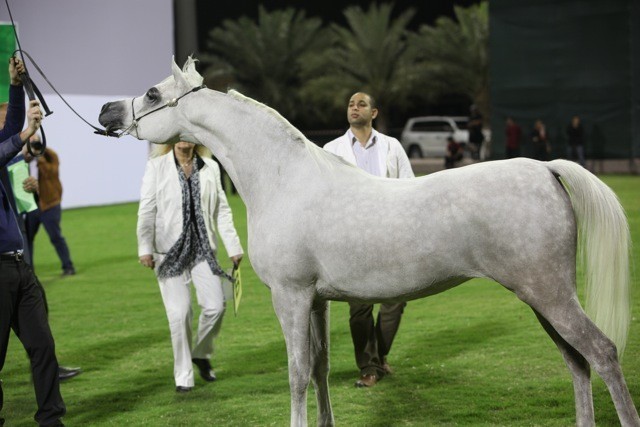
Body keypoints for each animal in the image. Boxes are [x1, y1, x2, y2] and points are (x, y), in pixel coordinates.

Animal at [98, 58, 638, 427]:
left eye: (152, 92)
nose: (106, 110)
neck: (284, 179)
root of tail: (546, 169)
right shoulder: (317, 301)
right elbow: (319, 368)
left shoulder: (290, 297)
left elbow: (296, 373)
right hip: (542, 298)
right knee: (577, 362)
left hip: (549, 294)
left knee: (602, 352)